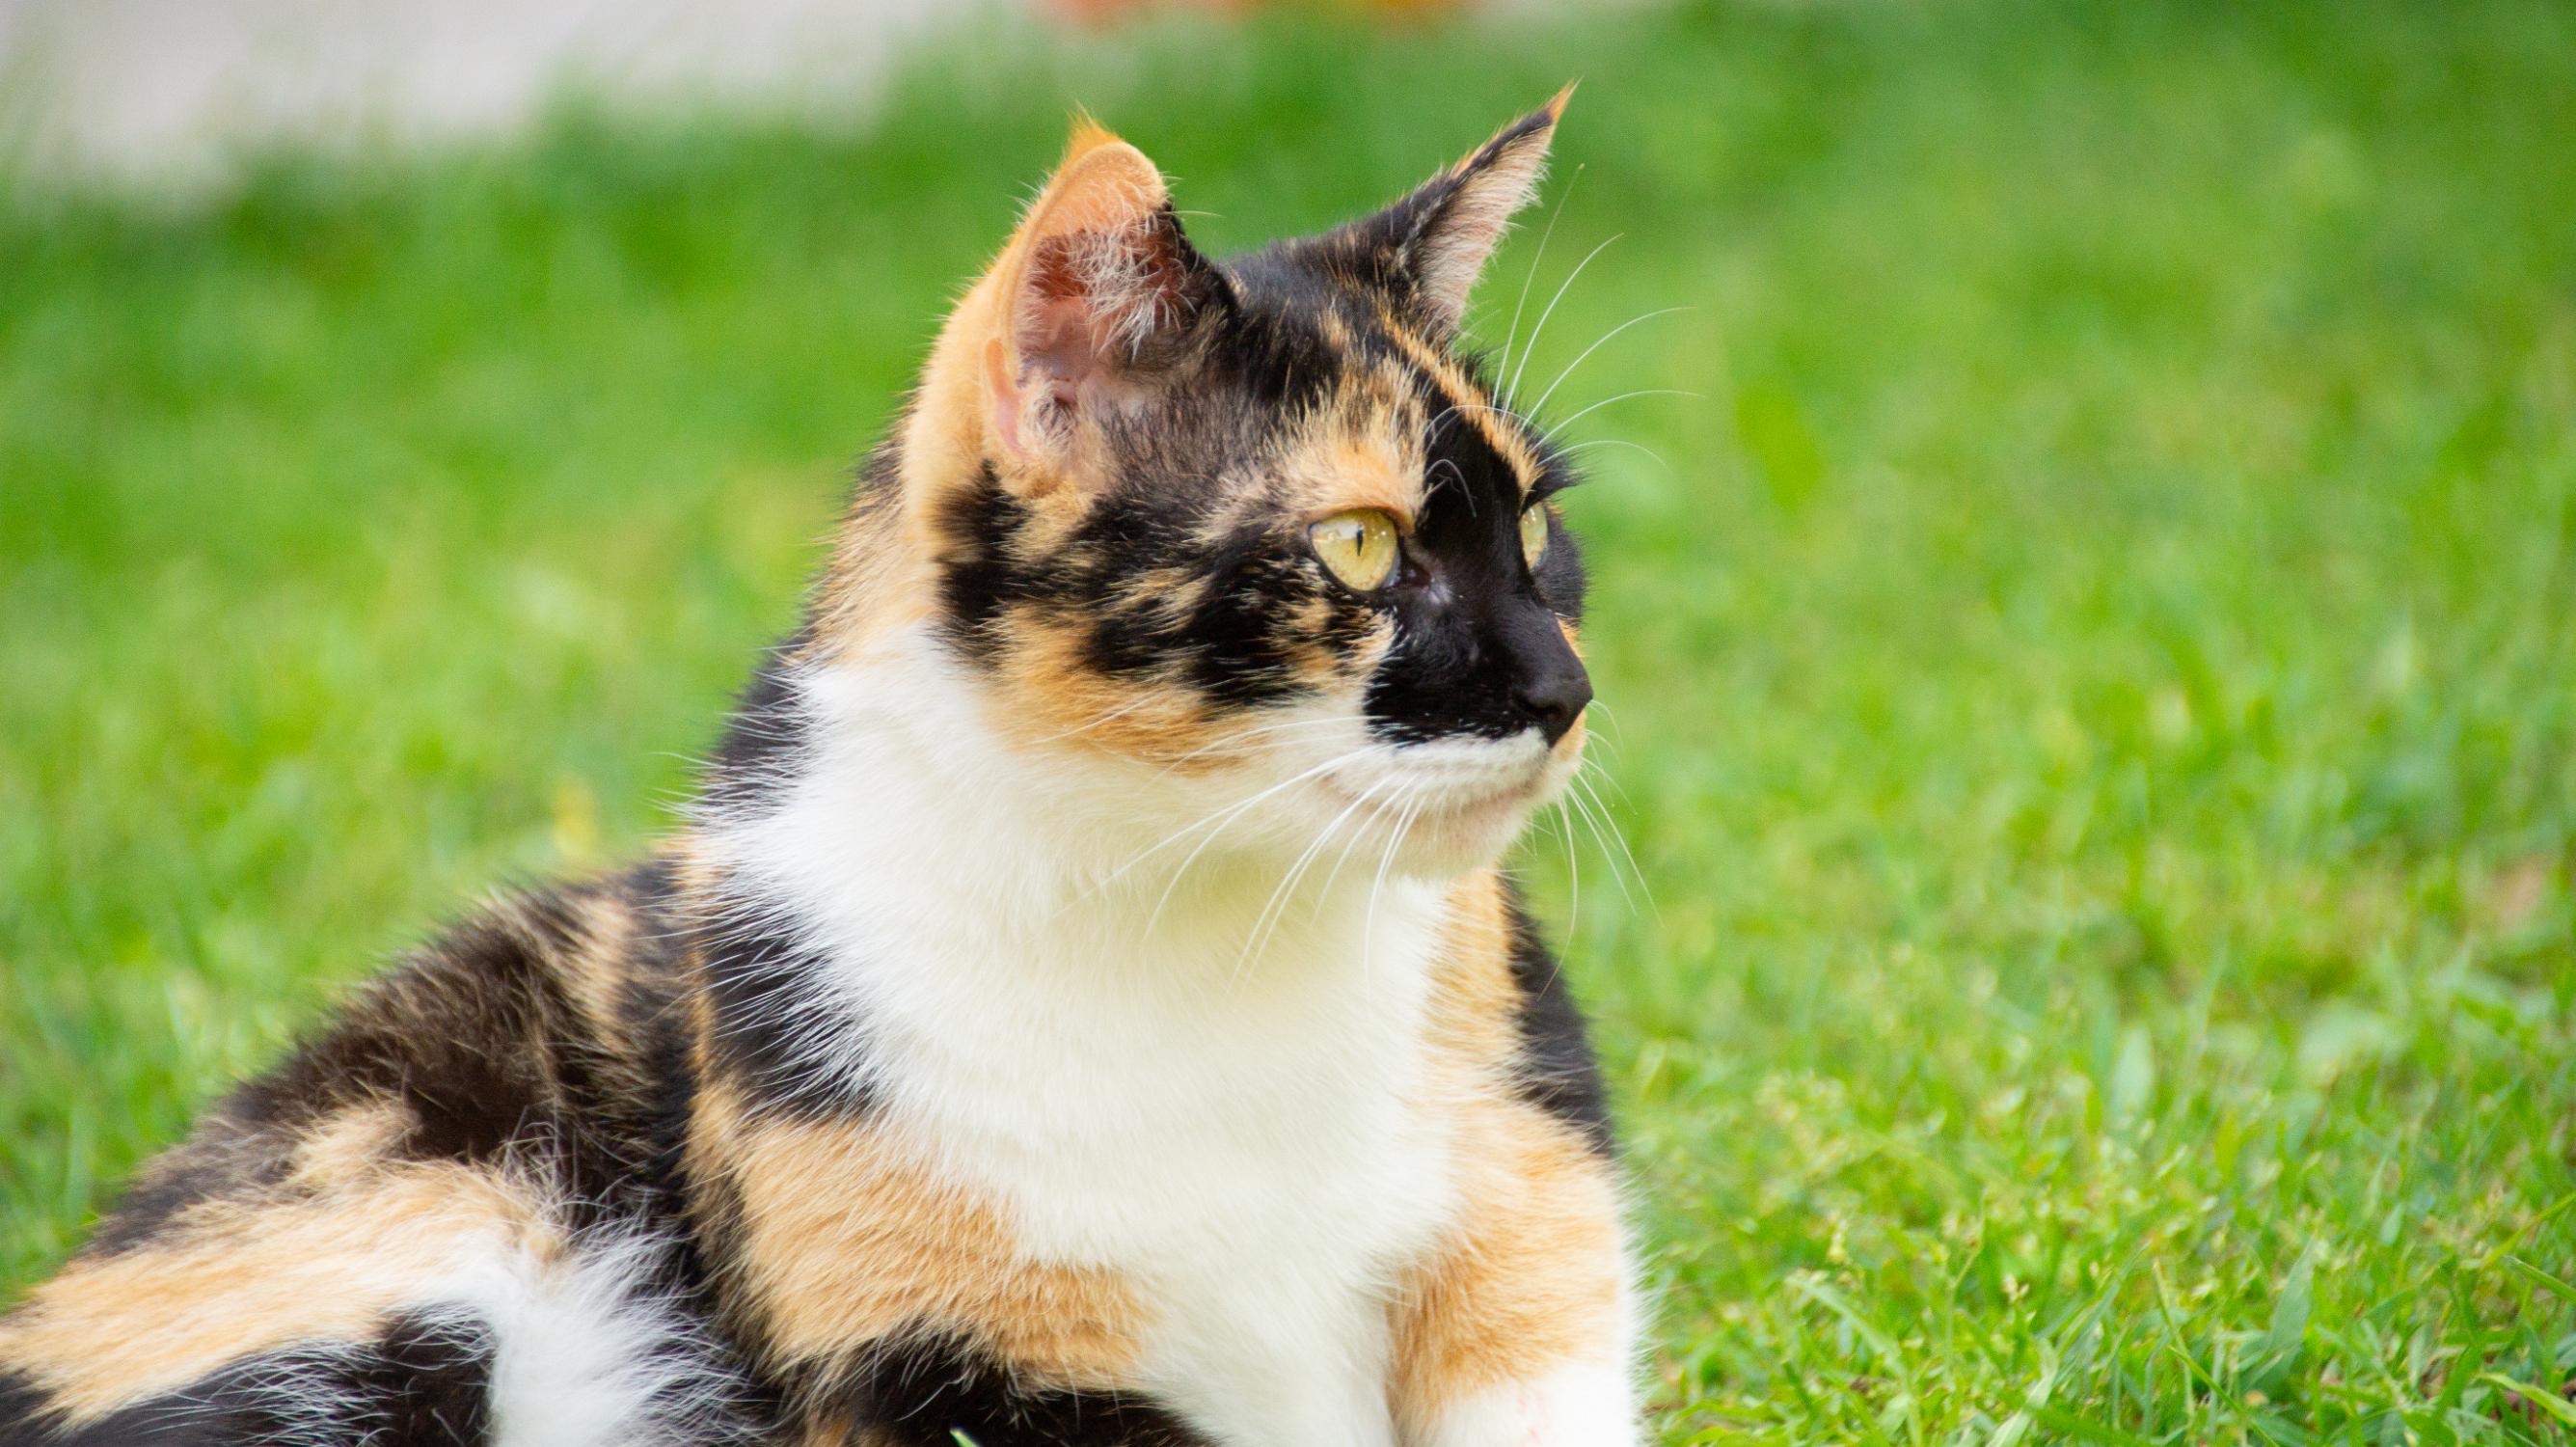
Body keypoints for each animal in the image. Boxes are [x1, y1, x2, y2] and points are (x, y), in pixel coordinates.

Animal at [0, 92, 1638, 1447]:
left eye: (1531, 523)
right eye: (1358, 544)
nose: (1564, 692)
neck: (1202, 921)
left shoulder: (1532, 1202)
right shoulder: (929, 1358)